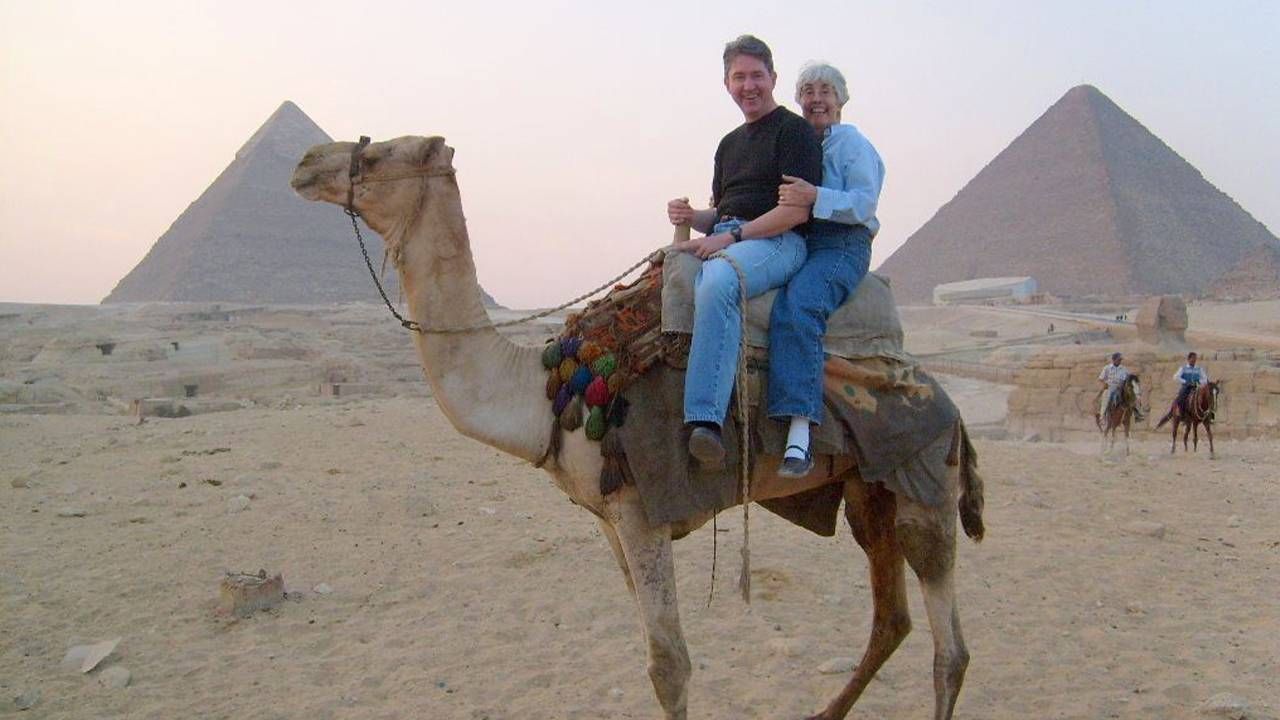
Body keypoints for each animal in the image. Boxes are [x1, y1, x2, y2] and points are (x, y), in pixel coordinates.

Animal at [290, 135, 983, 717]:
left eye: (383, 152)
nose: (306, 162)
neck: (542, 396)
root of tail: (947, 402)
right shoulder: (609, 521)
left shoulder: (640, 507)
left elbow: (668, 666)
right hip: (870, 490)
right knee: (891, 618)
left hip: (926, 480)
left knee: (950, 646)